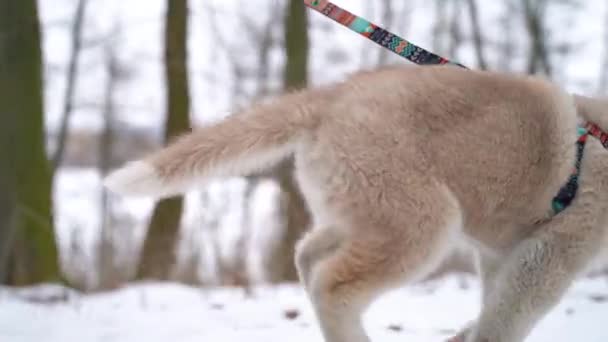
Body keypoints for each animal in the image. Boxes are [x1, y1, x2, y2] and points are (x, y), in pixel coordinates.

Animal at [103, 65, 608, 342]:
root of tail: (332, 97)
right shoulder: (555, 251)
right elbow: (509, 315)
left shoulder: (503, 252)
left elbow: (492, 304)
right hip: (422, 220)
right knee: (334, 286)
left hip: (365, 207)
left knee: (308, 256)